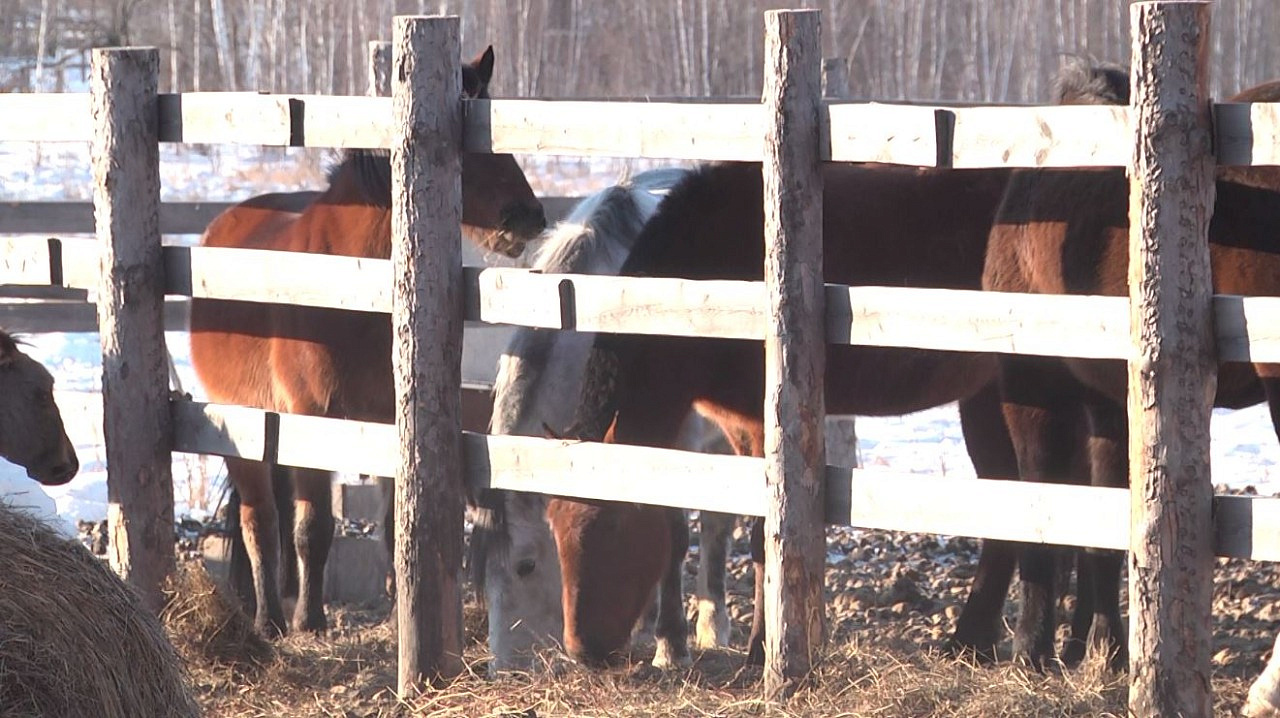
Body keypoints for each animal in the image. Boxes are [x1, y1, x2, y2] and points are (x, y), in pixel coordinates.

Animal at [189, 47, 545, 634]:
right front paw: (311, 619)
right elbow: (313, 526)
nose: (528, 217)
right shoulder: (311, 417)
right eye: (465, 154)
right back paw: (270, 618)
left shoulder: (385, 422)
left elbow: (394, 524)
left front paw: (402, 613)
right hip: (244, 423)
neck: (351, 284)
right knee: (259, 519)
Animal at [473, 165, 747, 670]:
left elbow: (675, 533)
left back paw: (711, 624)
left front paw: (671, 645)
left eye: (526, 565)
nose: (504, 668)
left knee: (719, 522)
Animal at [983, 64, 1280, 670]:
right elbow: (1102, 533)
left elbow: (1040, 511)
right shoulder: (1108, 406)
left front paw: (1033, 647)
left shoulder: (1032, 388)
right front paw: (1103, 649)